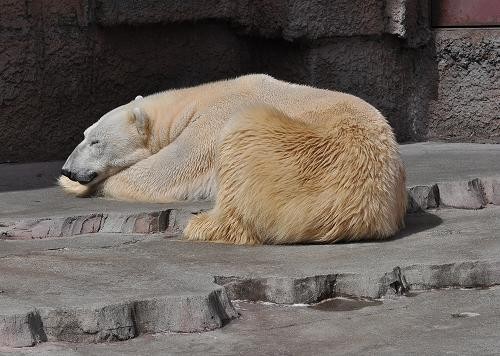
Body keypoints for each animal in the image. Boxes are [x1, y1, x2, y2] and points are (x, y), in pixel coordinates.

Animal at [60, 73, 408, 243]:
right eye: (84, 134)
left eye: (96, 141)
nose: (67, 169)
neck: (194, 100)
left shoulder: (212, 121)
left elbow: (167, 172)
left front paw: (78, 186)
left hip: (296, 154)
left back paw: (202, 225)